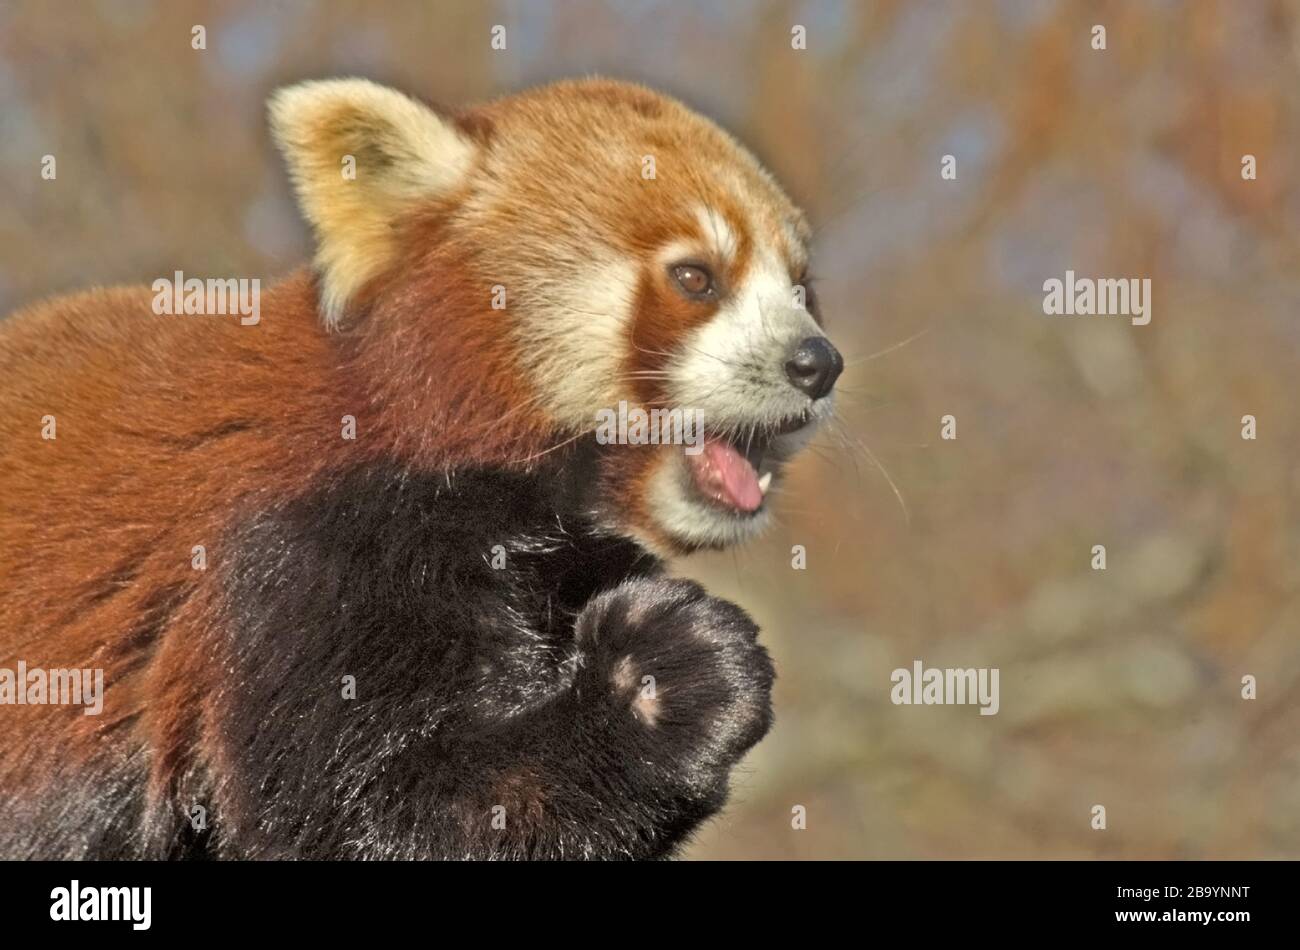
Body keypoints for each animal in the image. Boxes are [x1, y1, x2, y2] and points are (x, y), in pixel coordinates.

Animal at [0, 77, 843, 859]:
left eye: (803, 289)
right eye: (697, 277)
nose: (818, 364)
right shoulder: (298, 553)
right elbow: (360, 812)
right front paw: (662, 678)